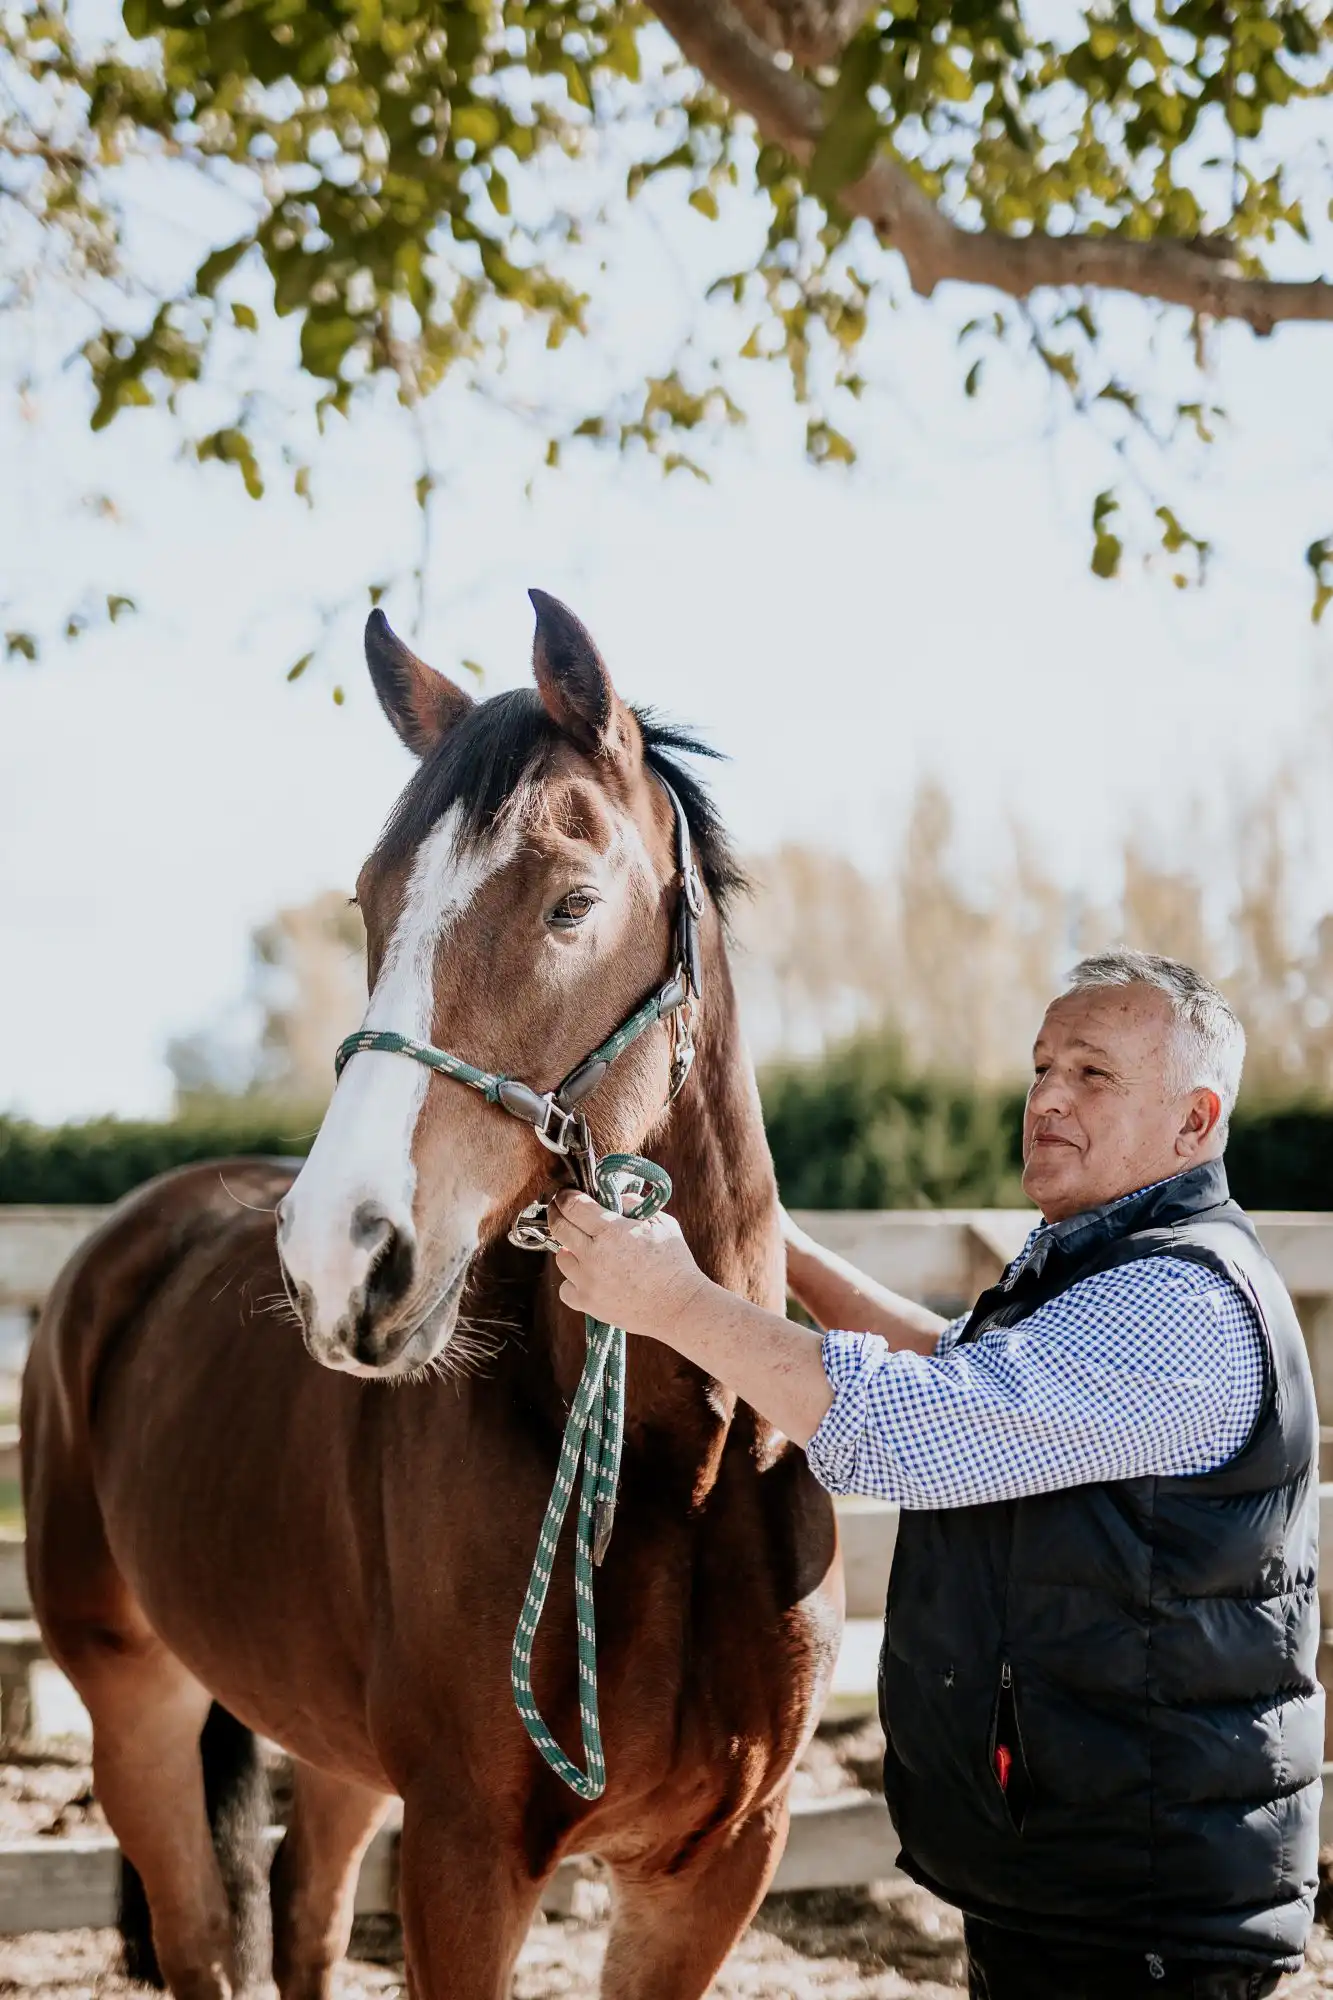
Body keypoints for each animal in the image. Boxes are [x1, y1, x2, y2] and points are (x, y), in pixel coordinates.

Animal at [21, 590, 843, 2000]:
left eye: (573, 903)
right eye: (370, 895)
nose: (338, 1257)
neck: (676, 1472)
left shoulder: (716, 1867)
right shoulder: (464, 1854)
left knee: (304, 1906)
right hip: (134, 1703)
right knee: (202, 1933)